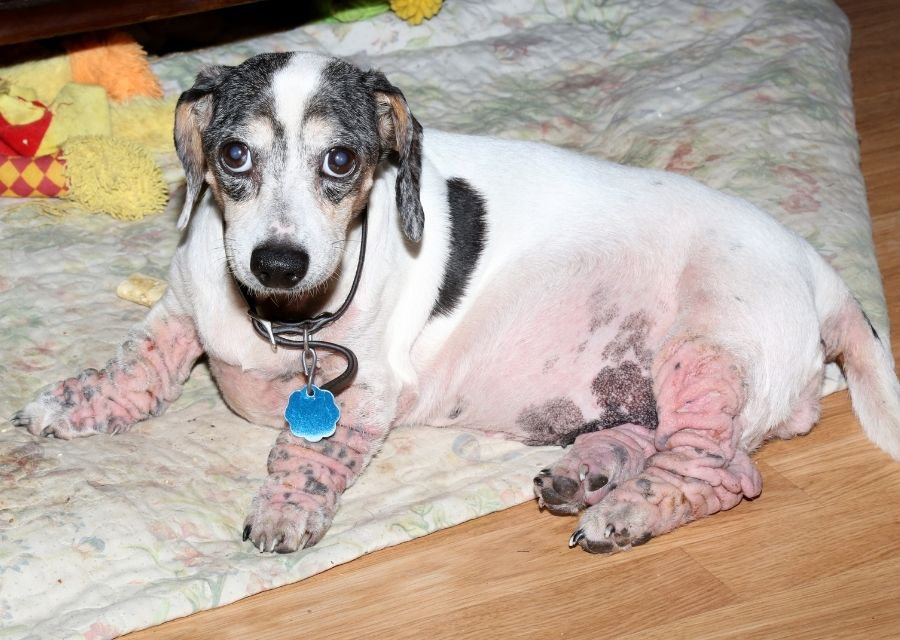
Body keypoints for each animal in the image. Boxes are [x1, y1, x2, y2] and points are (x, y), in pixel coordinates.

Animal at [14, 52, 900, 552]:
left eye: (342, 161)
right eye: (233, 154)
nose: (278, 260)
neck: (281, 319)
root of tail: (824, 276)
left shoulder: (364, 392)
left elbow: (306, 452)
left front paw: (284, 511)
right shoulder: (180, 309)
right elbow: (137, 363)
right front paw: (73, 402)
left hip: (708, 352)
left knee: (719, 471)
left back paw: (625, 513)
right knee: (656, 439)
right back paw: (588, 471)